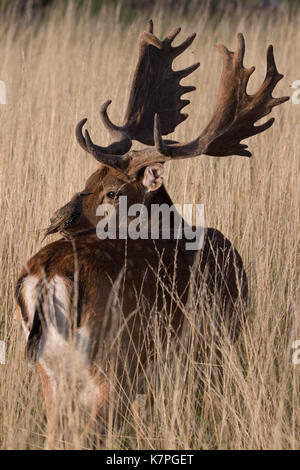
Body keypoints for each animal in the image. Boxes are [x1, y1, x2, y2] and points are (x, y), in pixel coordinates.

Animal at [15, 22, 288, 446]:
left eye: (109, 189)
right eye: (90, 181)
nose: (60, 220)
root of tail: (44, 275)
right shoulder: (217, 347)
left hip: (52, 376)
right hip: (118, 364)